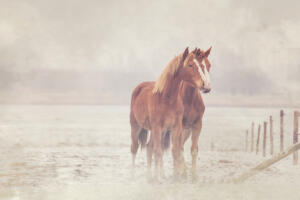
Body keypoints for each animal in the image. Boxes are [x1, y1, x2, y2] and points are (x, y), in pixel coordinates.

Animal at [130, 47, 210, 180]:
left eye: (208, 65)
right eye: (190, 65)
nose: (206, 85)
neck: (166, 98)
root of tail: (139, 87)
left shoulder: (177, 127)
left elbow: (176, 151)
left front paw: (177, 176)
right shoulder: (158, 127)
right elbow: (159, 152)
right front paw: (162, 177)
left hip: (162, 131)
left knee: (149, 147)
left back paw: (151, 174)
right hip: (136, 126)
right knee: (135, 148)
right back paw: (135, 174)